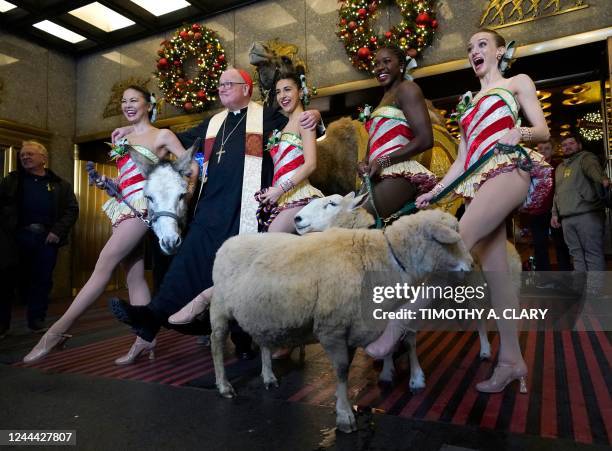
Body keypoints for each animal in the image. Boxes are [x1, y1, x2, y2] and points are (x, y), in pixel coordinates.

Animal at [210, 212, 474, 434]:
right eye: (451, 240)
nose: (472, 265)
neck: (382, 257)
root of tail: (228, 242)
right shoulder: (331, 329)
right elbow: (341, 370)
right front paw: (345, 415)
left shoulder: (357, 328)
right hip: (220, 307)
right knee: (216, 344)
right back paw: (224, 386)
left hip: (263, 313)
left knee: (263, 343)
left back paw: (268, 377)